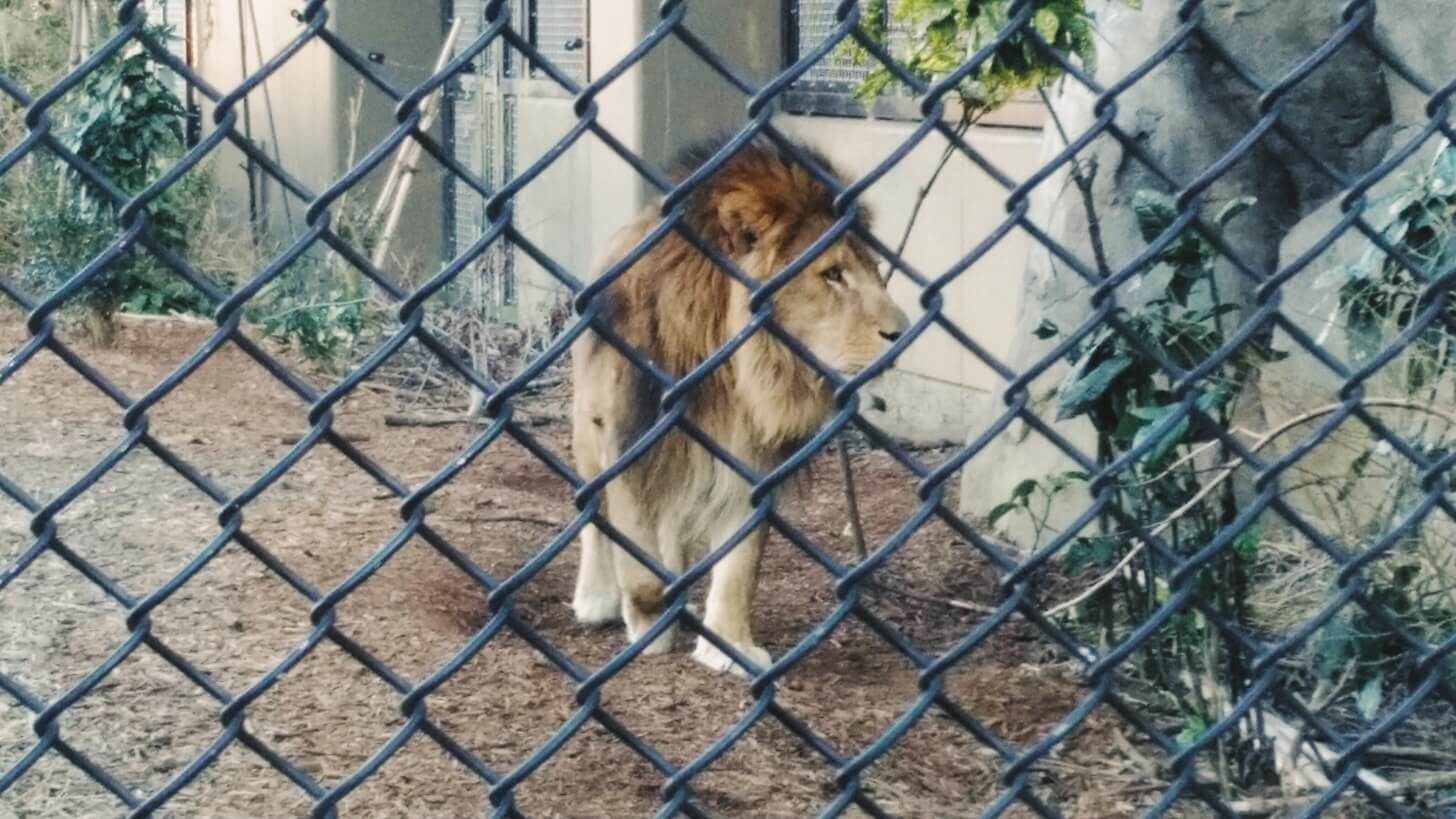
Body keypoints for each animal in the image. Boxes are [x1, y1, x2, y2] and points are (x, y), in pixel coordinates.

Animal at [567, 134, 908, 673]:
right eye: (832, 274)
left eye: (874, 270)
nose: (904, 332)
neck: (735, 373)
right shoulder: (631, 441)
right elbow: (634, 551)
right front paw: (651, 626)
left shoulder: (753, 462)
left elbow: (740, 566)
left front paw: (728, 646)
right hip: (589, 426)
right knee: (593, 515)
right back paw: (597, 598)